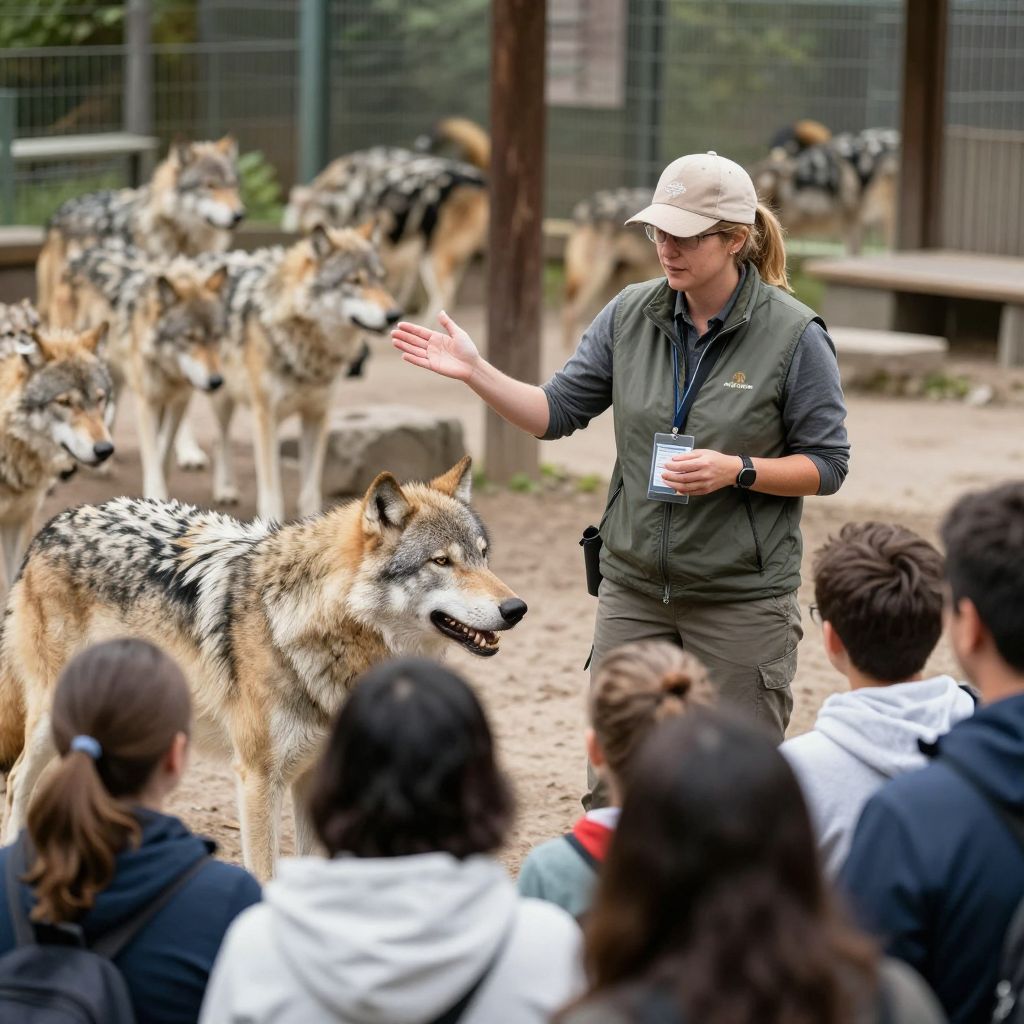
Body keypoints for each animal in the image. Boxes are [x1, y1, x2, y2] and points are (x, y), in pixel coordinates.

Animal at [0, 457, 527, 879]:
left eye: (482, 555)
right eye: (442, 562)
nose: (516, 608)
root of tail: (54, 524)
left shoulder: (315, 777)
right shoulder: (257, 778)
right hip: (53, 720)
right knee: (17, 781)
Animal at [60, 245, 228, 501]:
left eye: (217, 336)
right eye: (189, 338)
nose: (216, 381)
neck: (169, 369)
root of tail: (82, 251)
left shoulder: (179, 400)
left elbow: (163, 451)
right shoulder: (146, 402)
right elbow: (152, 455)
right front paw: (156, 493)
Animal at [196, 223, 401, 522]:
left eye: (381, 279)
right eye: (354, 281)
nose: (395, 314)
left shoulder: (317, 414)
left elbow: (310, 489)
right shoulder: (265, 416)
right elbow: (271, 491)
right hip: (220, 396)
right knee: (218, 439)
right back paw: (221, 486)